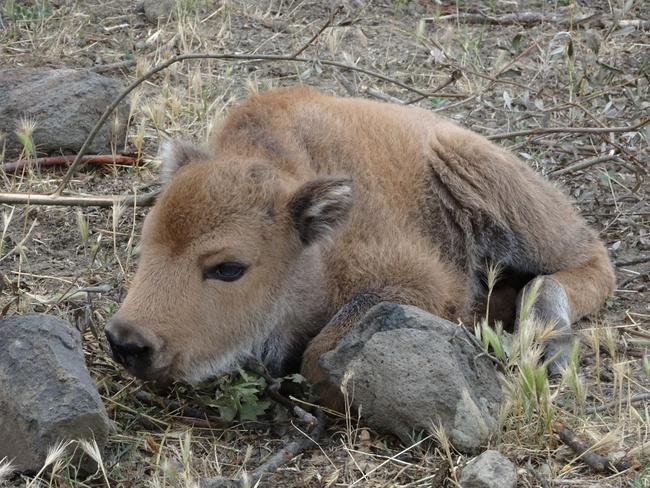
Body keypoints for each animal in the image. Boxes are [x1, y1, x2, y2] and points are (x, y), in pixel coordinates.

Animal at [106, 85, 612, 408]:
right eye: (147, 247)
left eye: (229, 268)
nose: (127, 342)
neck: (316, 252)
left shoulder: (419, 282)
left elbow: (318, 357)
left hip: (482, 178)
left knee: (589, 263)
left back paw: (547, 343)